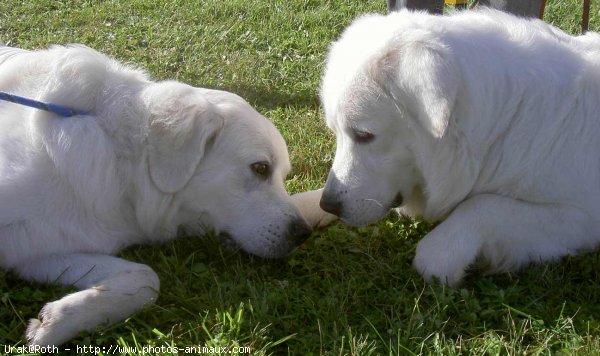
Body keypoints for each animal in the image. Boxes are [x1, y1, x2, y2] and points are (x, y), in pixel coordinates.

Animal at [0, 43, 336, 346]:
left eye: (283, 175)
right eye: (261, 168)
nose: (302, 233)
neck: (118, 159)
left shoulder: (39, 250)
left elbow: (146, 279)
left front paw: (59, 321)